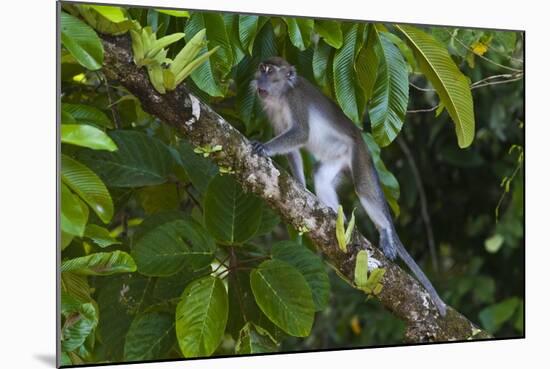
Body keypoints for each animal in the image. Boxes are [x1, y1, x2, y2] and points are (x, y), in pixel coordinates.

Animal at [250, 56, 448, 314]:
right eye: (261, 69)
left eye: (269, 70)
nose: (258, 79)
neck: (282, 95)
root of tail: (361, 141)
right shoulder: (272, 110)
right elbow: (293, 147)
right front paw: (300, 185)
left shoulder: (296, 101)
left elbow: (301, 134)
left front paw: (264, 147)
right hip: (338, 156)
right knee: (321, 175)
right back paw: (337, 216)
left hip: (358, 154)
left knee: (363, 187)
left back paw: (384, 231)